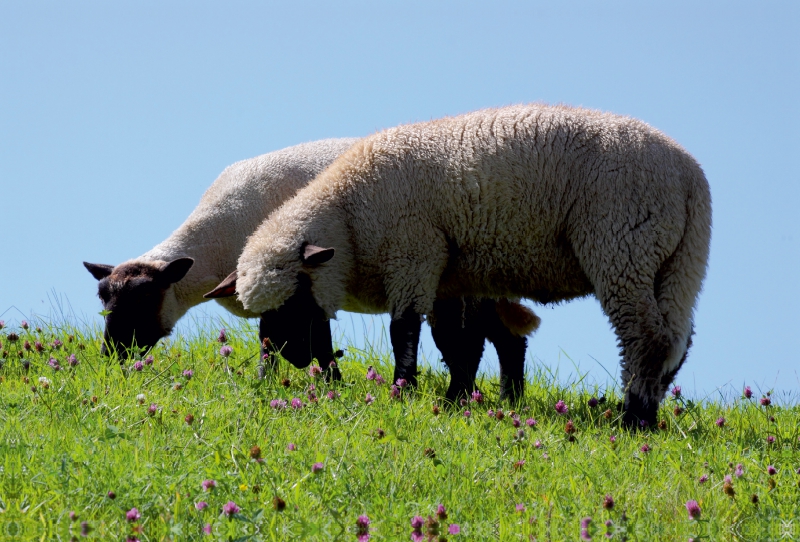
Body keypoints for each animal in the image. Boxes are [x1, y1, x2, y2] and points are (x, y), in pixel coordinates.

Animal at [208, 104, 712, 428]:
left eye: (296, 297)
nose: (291, 358)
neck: (350, 217)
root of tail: (691, 178)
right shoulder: (448, 276)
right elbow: (458, 344)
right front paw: (456, 400)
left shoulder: (415, 253)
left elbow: (405, 332)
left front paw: (403, 391)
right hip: (676, 264)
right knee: (676, 340)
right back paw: (649, 410)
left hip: (621, 246)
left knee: (645, 336)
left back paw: (634, 417)